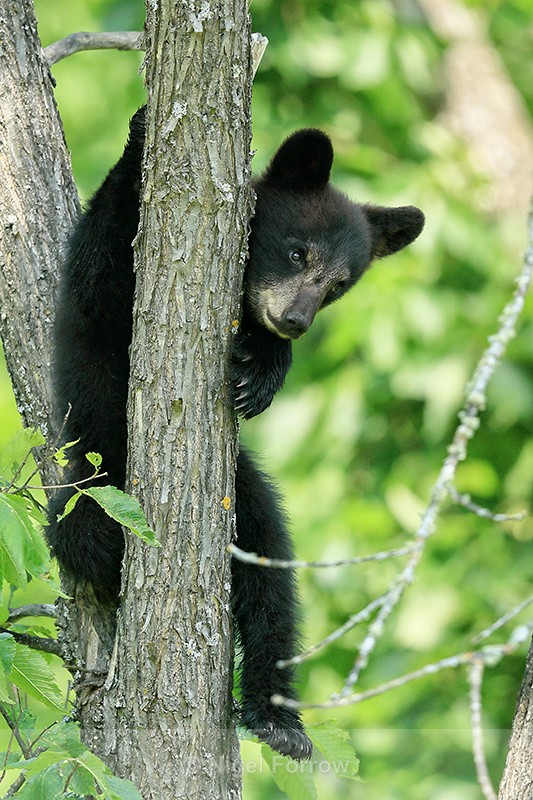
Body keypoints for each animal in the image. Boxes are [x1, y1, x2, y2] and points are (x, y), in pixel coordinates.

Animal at [47, 106, 424, 761]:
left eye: (339, 285)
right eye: (297, 253)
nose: (295, 320)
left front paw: (264, 372)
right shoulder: (100, 298)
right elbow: (101, 272)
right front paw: (141, 134)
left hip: (240, 493)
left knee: (270, 574)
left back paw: (277, 716)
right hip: (94, 479)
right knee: (81, 533)